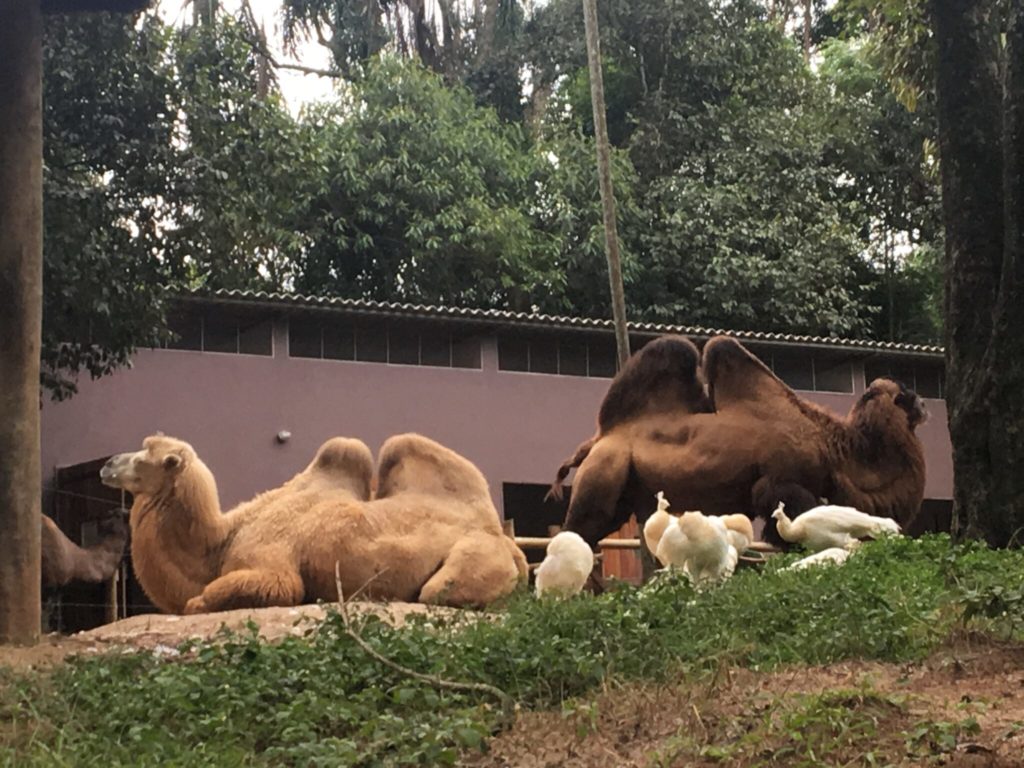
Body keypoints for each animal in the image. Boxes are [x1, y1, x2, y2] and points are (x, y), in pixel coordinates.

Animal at [99, 436, 528, 618]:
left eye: (146, 457)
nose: (106, 464)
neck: (221, 540)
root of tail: (509, 544)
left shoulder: (273, 567)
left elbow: (204, 600)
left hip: (471, 560)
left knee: (439, 591)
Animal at [552, 335, 929, 548]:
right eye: (906, 394)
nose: (925, 404)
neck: (829, 446)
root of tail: (598, 439)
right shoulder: (779, 482)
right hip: (604, 471)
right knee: (579, 528)